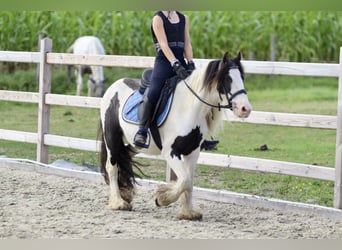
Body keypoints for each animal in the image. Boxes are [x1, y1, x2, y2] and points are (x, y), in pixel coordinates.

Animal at [98, 51, 251, 220]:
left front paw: (188, 212)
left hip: (135, 144)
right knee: (112, 166)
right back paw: (118, 203)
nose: (245, 109)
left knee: (124, 156)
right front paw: (162, 198)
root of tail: (115, 85)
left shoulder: (193, 152)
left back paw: (125, 194)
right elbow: (184, 180)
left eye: (242, 78)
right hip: (112, 137)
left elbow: (189, 182)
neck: (188, 107)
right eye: (227, 79)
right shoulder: (171, 152)